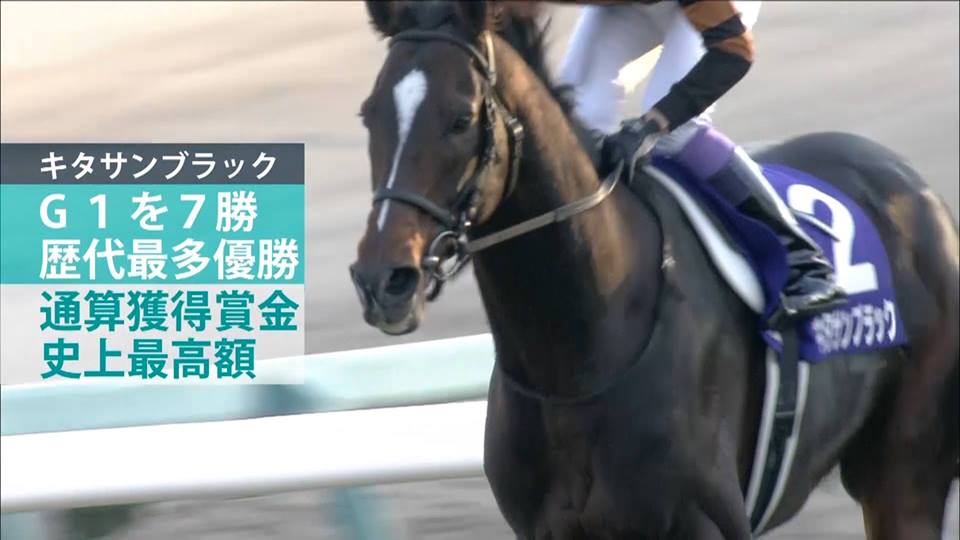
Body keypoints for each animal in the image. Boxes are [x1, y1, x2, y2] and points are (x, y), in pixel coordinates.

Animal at [348, 2, 959, 538]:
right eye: (368, 113)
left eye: (460, 119)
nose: (384, 280)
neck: (575, 359)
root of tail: (913, 185)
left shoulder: (707, 523)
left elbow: (730, 48)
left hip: (903, 478)